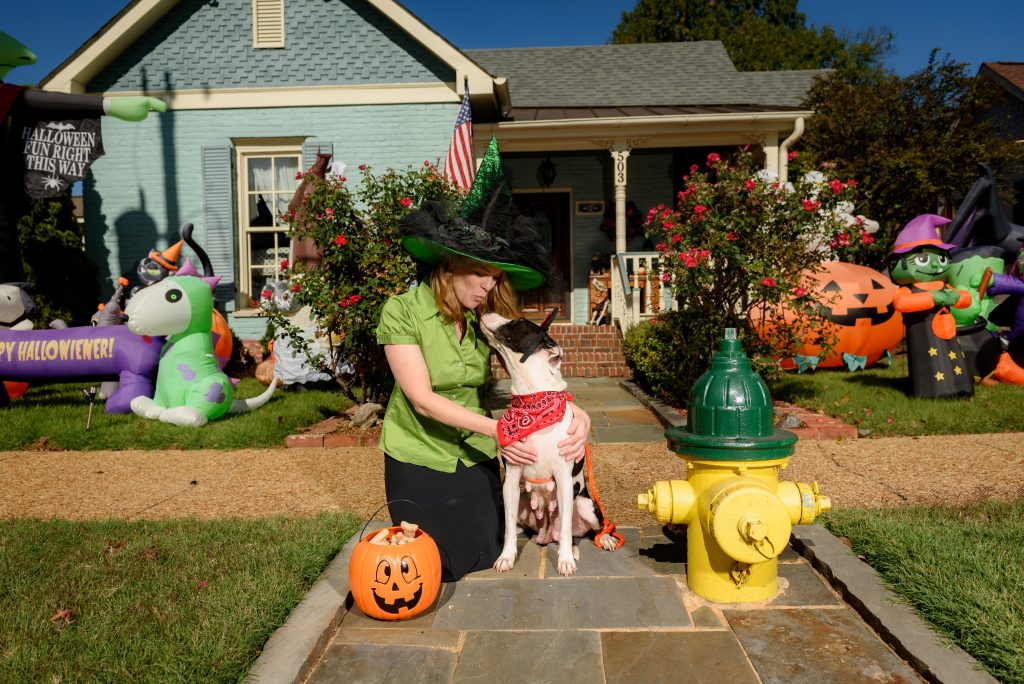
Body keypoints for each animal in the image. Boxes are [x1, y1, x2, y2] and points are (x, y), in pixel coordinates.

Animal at [477, 311, 618, 577]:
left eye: (518, 322)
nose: (483, 310)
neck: (533, 400)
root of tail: (545, 533)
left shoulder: (563, 478)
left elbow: (566, 529)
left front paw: (565, 561)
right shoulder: (511, 480)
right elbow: (508, 528)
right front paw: (506, 557)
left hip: (586, 505)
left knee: (591, 527)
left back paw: (600, 540)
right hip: (522, 502)